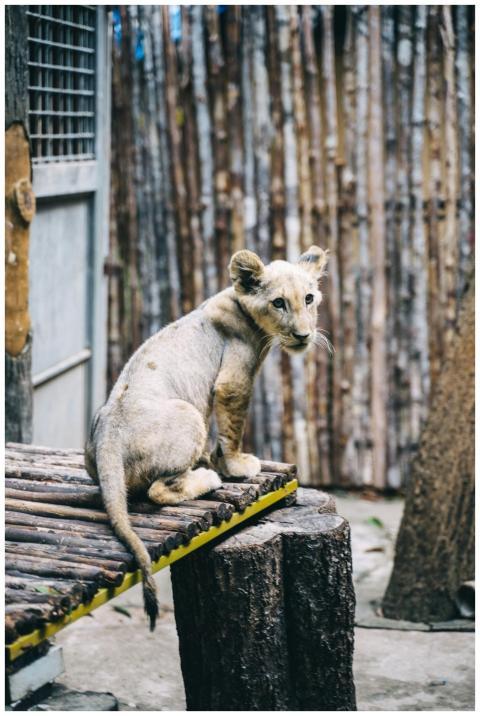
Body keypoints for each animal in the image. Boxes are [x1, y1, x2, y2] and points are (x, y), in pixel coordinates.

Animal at [85, 245, 328, 628]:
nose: (304, 335)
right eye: (278, 303)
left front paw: (218, 458)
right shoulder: (234, 380)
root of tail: (110, 433)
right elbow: (232, 428)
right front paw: (236, 465)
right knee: (157, 490)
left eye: (309, 298)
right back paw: (207, 477)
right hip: (188, 414)